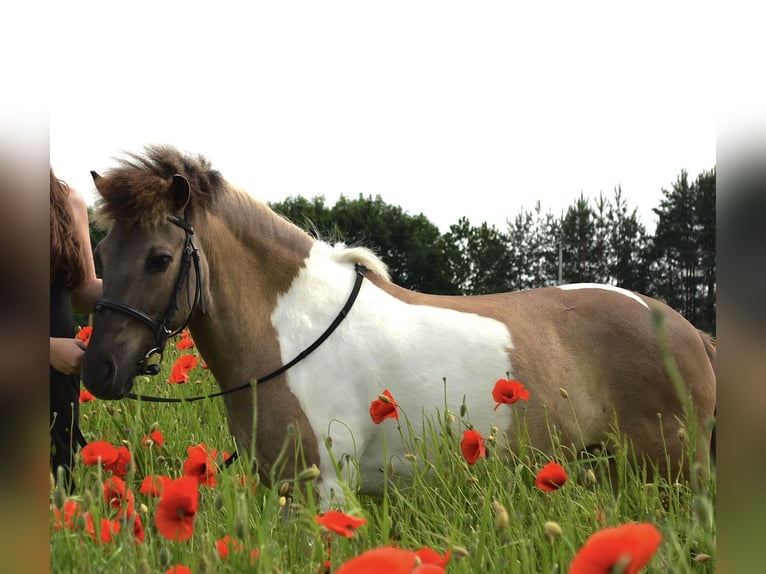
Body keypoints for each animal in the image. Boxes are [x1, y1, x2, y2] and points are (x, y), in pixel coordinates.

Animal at [82, 145, 716, 501]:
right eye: (104, 252)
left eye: (159, 258)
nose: (99, 370)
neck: (296, 333)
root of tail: (685, 330)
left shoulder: (328, 490)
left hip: (671, 473)